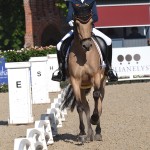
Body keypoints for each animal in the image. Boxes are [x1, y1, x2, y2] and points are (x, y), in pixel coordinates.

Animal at [60, 2, 106, 143]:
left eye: (91, 22)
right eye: (76, 23)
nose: (87, 45)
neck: (83, 54)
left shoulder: (96, 76)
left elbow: (96, 96)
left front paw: (94, 119)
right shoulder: (75, 80)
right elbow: (80, 107)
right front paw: (82, 133)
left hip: (101, 82)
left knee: (99, 101)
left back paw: (97, 131)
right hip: (81, 87)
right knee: (85, 106)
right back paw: (88, 133)